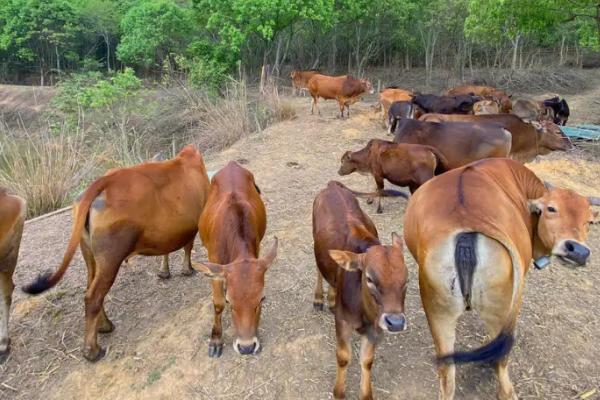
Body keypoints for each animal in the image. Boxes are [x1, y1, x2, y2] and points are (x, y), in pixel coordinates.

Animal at [22, 146, 211, 362]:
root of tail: (105, 181)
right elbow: (187, 247)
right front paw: (187, 269)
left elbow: (167, 251)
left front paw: (165, 272)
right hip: (111, 259)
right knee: (93, 296)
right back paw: (92, 350)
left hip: (91, 256)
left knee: (89, 289)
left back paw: (104, 326)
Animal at [192, 161, 276, 358]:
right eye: (230, 302)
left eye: (261, 299)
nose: (247, 347)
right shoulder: (214, 263)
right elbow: (217, 303)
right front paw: (216, 339)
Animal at [314, 181, 408, 400]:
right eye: (369, 278)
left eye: (406, 280)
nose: (396, 323)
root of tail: (332, 185)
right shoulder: (342, 321)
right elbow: (343, 357)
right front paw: (339, 392)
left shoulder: (375, 325)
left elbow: (367, 361)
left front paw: (366, 394)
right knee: (318, 270)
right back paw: (319, 298)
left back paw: (331, 299)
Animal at [400, 159, 596, 400]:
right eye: (552, 209)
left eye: (590, 221)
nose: (578, 251)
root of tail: (467, 224)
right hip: (503, 310)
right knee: (501, 364)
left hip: (439, 311)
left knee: (447, 374)